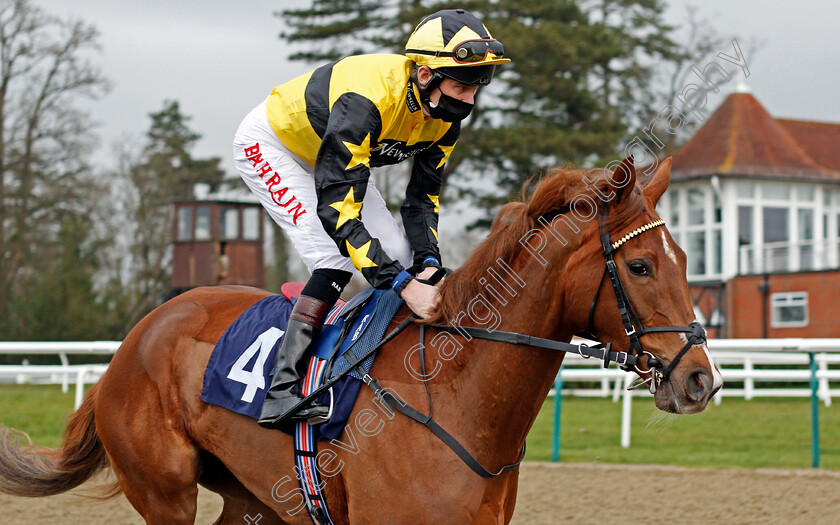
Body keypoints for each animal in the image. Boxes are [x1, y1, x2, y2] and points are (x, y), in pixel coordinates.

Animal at [0, 157, 720, 524]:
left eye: (686, 257)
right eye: (640, 266)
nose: (701, 378)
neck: (456, 393)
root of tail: (134, 340)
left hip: (255, 500)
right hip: (164, 493)